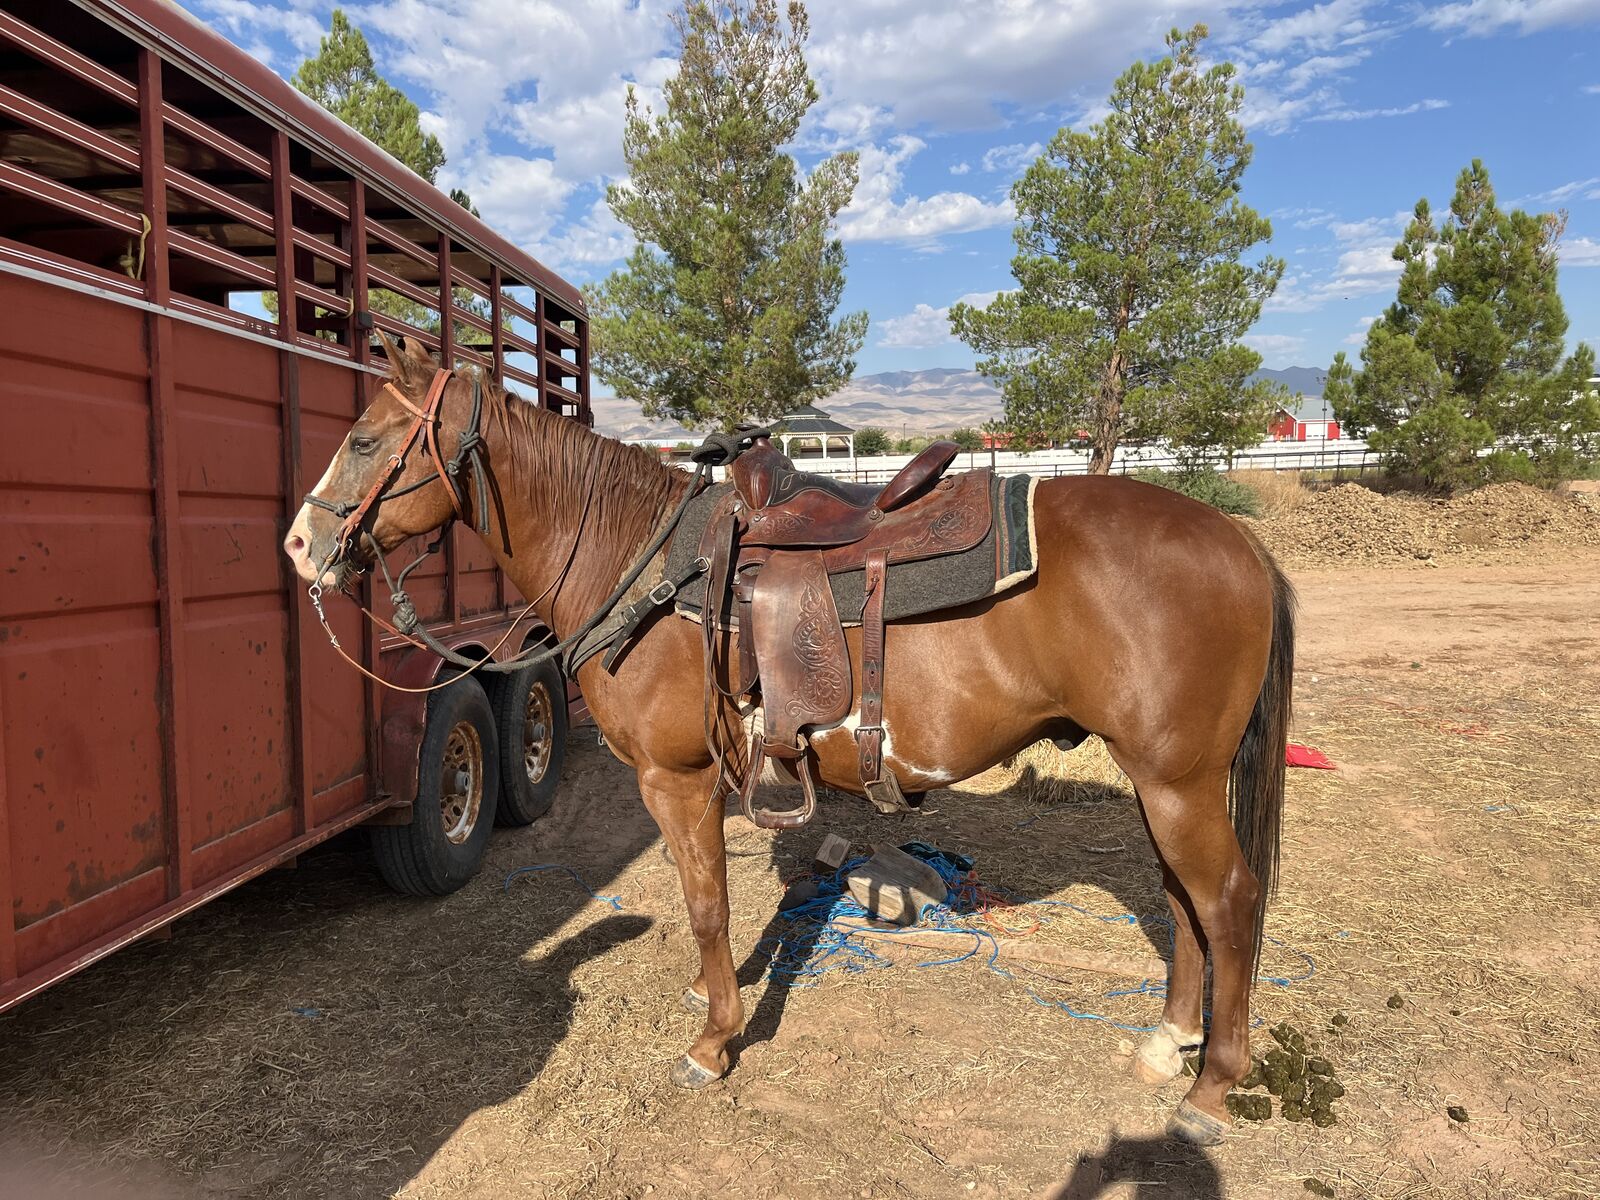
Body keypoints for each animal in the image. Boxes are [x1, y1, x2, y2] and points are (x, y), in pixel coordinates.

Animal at [282, 334, 1295, 1146]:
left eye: (365, 440)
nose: (297, 545)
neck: (639, 562)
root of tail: (1240, 543)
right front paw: (712, 1001)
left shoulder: (678, 779)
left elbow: (706, 905)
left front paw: (713, 1039)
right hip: (1162, 783)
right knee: (1182, 903)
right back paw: (1168, 1042)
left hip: (1178, 783)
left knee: (1229, 902)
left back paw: (1211, 1089)